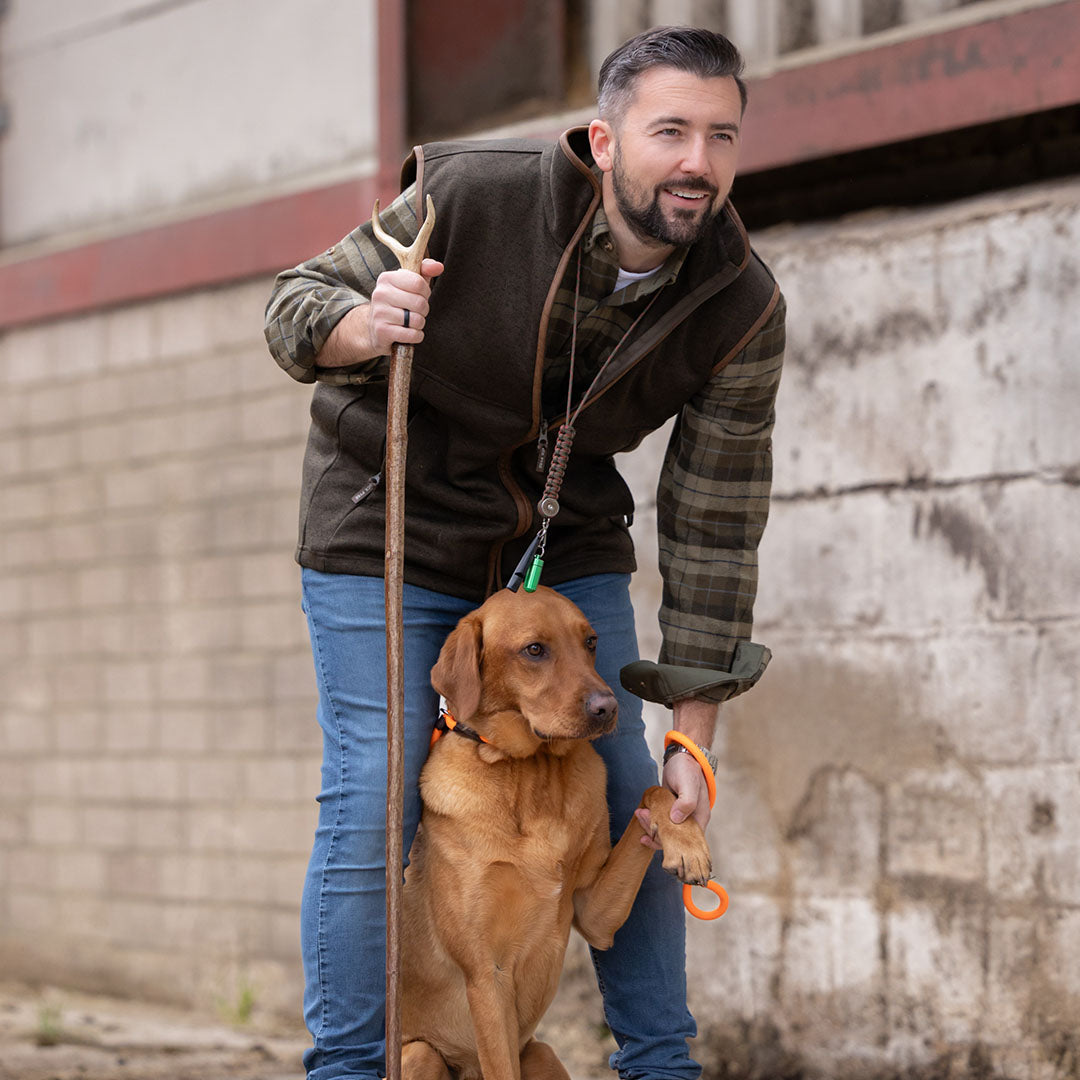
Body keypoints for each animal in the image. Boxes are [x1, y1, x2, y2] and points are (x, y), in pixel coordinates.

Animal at [401, 587, 712, 1075]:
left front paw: (687, 841)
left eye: (590, 642)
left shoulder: (595, 914)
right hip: (418, 1054)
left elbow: (655, 791)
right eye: (534, 650)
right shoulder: (486, 974)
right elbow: (500, 1067)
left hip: (541, 1052)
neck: (532, 772)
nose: (608, 708)